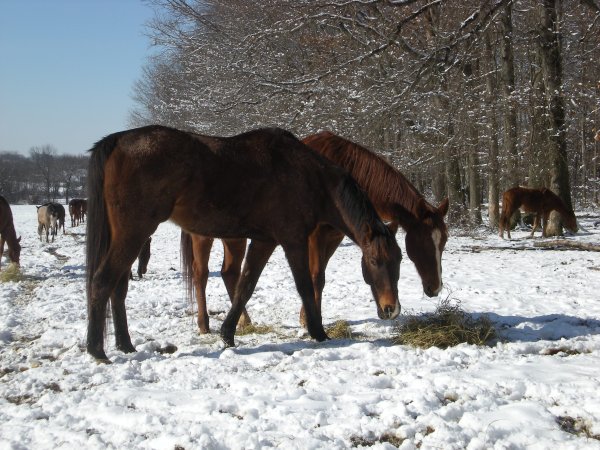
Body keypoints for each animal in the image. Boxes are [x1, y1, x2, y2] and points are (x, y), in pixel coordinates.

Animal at [85, 125, 404, 362]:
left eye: (399, 260)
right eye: (374, 261)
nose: (392, 309)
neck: (307, 174)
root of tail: (118, 139)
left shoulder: (265, 241)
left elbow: (244, 286)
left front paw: (228, 334)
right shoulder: (293, 241)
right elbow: (304, 286)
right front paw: (319, 332)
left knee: (118, 288)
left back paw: (125, 345)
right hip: (134, 233)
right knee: (102, 282)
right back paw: (97, 350)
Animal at [185, 130, 448, 334]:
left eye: (443, 242)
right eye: (422, 242)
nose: (435, 288)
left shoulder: (333, 238)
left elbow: (318, 278)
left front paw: (307, 317)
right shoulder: (313, 238)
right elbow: (315, 276)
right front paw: (310, 320)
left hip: (234, 239)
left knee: (229, 273)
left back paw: (245, 321)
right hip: (205, 238)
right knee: (202, 274)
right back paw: (204, 324)